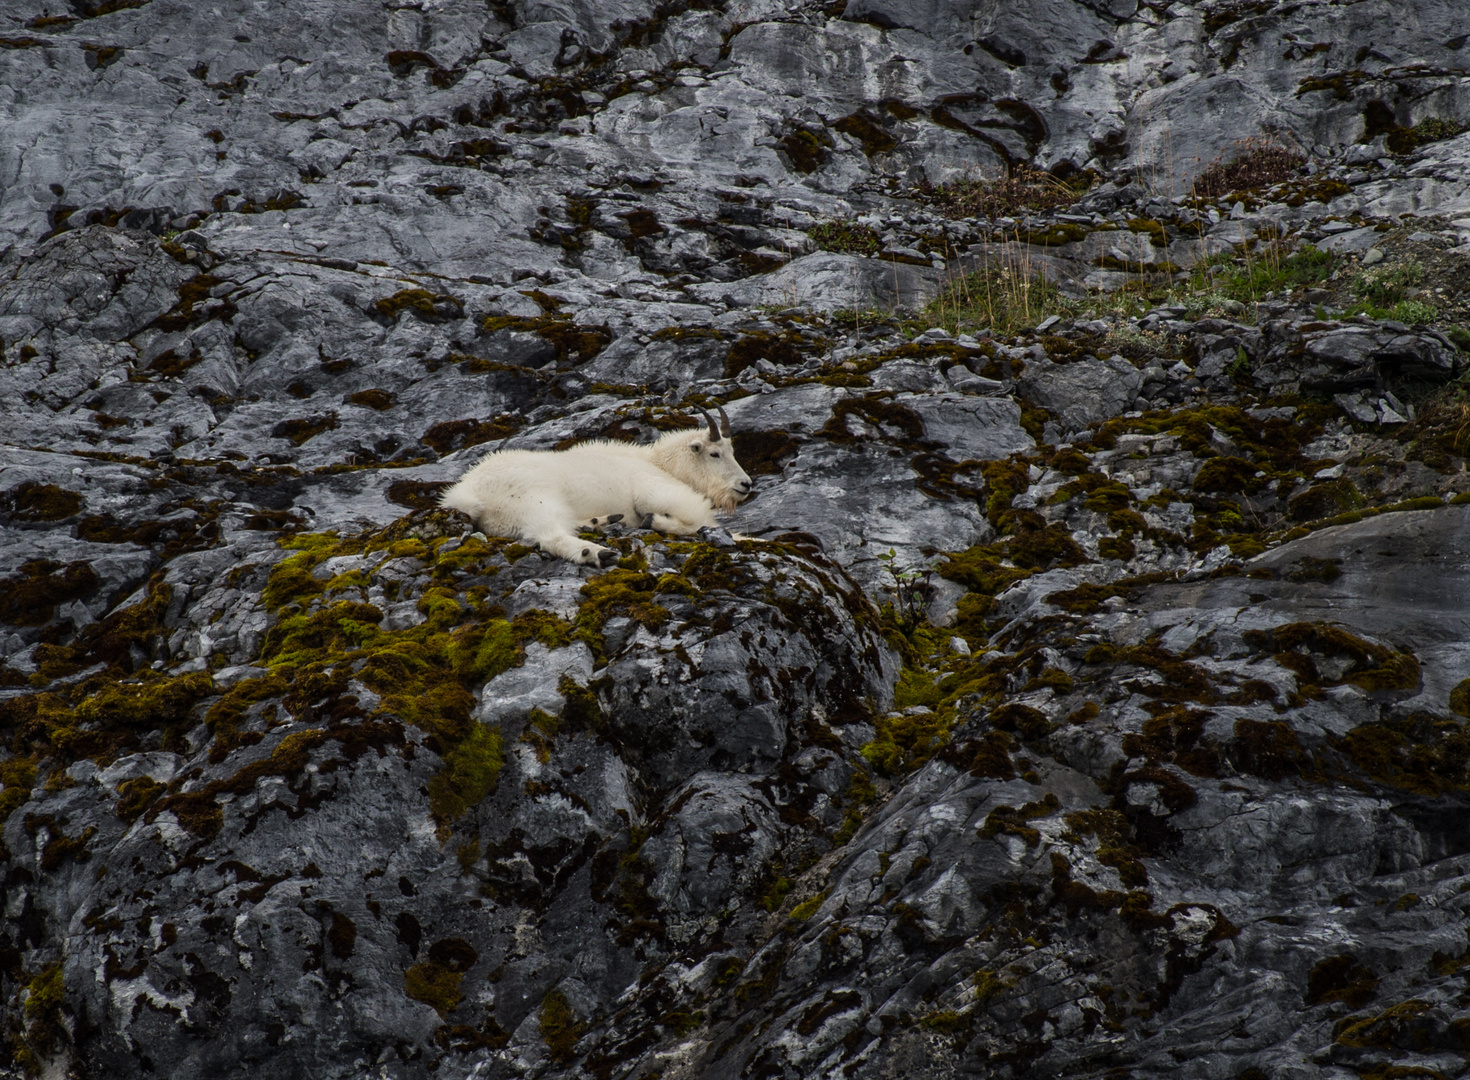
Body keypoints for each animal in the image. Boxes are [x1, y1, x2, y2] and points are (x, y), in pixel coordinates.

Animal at [441, 408, 752, 570]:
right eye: (715, 454)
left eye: (733, 451)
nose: (746, 484)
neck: (660, 463)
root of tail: (468, 493)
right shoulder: (658, 492)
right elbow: (698, 522)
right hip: (535, 501)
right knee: (551, 536)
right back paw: (597, 552)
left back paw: (600, 522)